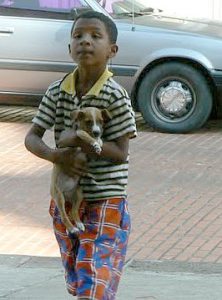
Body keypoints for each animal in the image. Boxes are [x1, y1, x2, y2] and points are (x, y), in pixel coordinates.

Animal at [50, 106, 111, 236]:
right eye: (88, 122)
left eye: (101, 121)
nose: (97, 132)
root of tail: (67, 195)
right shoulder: (79, 133)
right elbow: (86, 135)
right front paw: (95, 143)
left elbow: (98, 140)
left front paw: (99, 142)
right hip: (59, 196)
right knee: (63, 216)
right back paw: (72, 228)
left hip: (79, 193)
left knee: (72, 212)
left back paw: (78, 224)